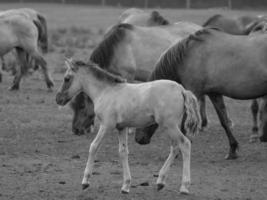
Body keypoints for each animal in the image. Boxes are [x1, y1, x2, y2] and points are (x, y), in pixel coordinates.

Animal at [56, 58, 202, 195]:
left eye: (67, 78)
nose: (58, 99)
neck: (105, 91)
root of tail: (182, 90)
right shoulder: (122, 127)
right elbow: (123, 152)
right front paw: (126, 186)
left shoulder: (106, 125)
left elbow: (93, 147)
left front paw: (85, 182)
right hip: (171, 126)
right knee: (175, 147)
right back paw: (160, 182)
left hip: (169, 125)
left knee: (185, 144)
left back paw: (184, 187)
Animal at [70, 22, 202, 135]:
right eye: (73, 106)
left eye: (82, 106)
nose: (76, 129)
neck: (118, 46)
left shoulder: (128, 77)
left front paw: (130, 129)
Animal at [136, 27, 267, 159]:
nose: (138, 139)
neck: (188, 56)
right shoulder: (214, 94)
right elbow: (224, 121)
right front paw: (232, 149)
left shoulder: (193, 92)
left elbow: (184, 125)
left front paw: (179, 151)